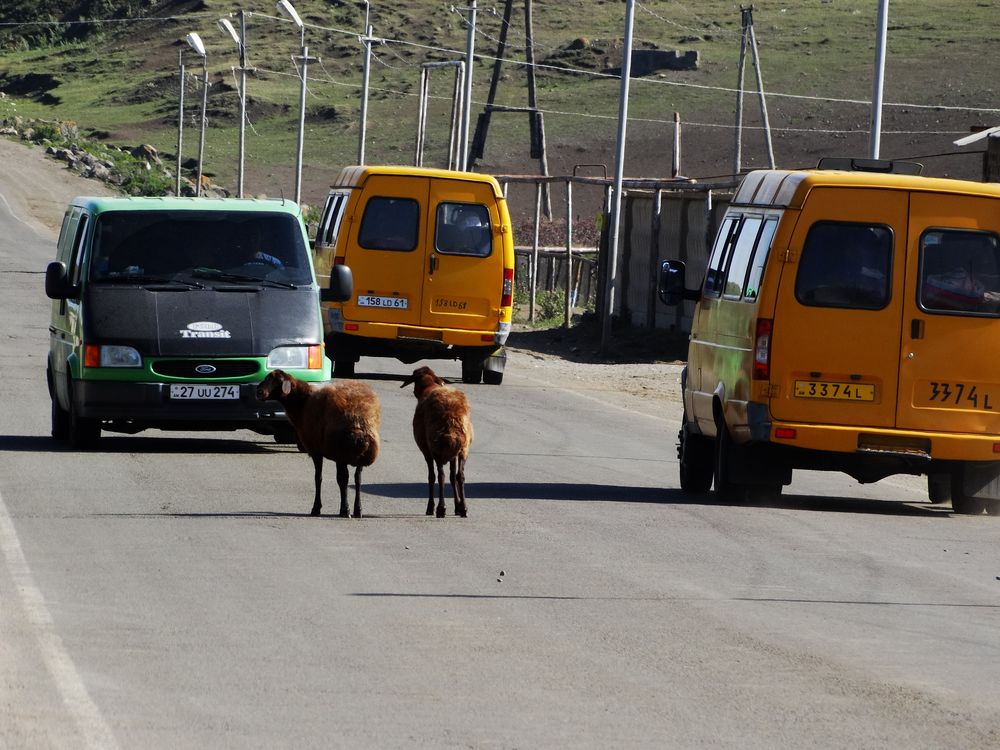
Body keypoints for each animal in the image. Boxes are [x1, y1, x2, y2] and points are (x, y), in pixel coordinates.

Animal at [256, 368, 380, 516]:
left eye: (275, 380)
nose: (258, 391)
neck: (302, 403)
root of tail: (357, 420)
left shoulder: (316, 450)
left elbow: (318, 478)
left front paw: (316, 508)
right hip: (360, 456)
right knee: (357, 479)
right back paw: (358, 510)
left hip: (340, 451)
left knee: (343, 479)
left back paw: (345, 510)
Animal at [400, 368, 474, 520]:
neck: (429, 386)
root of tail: (452, 418)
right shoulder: (453, 454)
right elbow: (453, 477)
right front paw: (457, 507)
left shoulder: (427, 451)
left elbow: (432, 476)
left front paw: (431, 507)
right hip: (463, 449)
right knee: (460, 476)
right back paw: (464, 509)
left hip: (437, 448)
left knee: (440, 476)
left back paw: (440, 508)